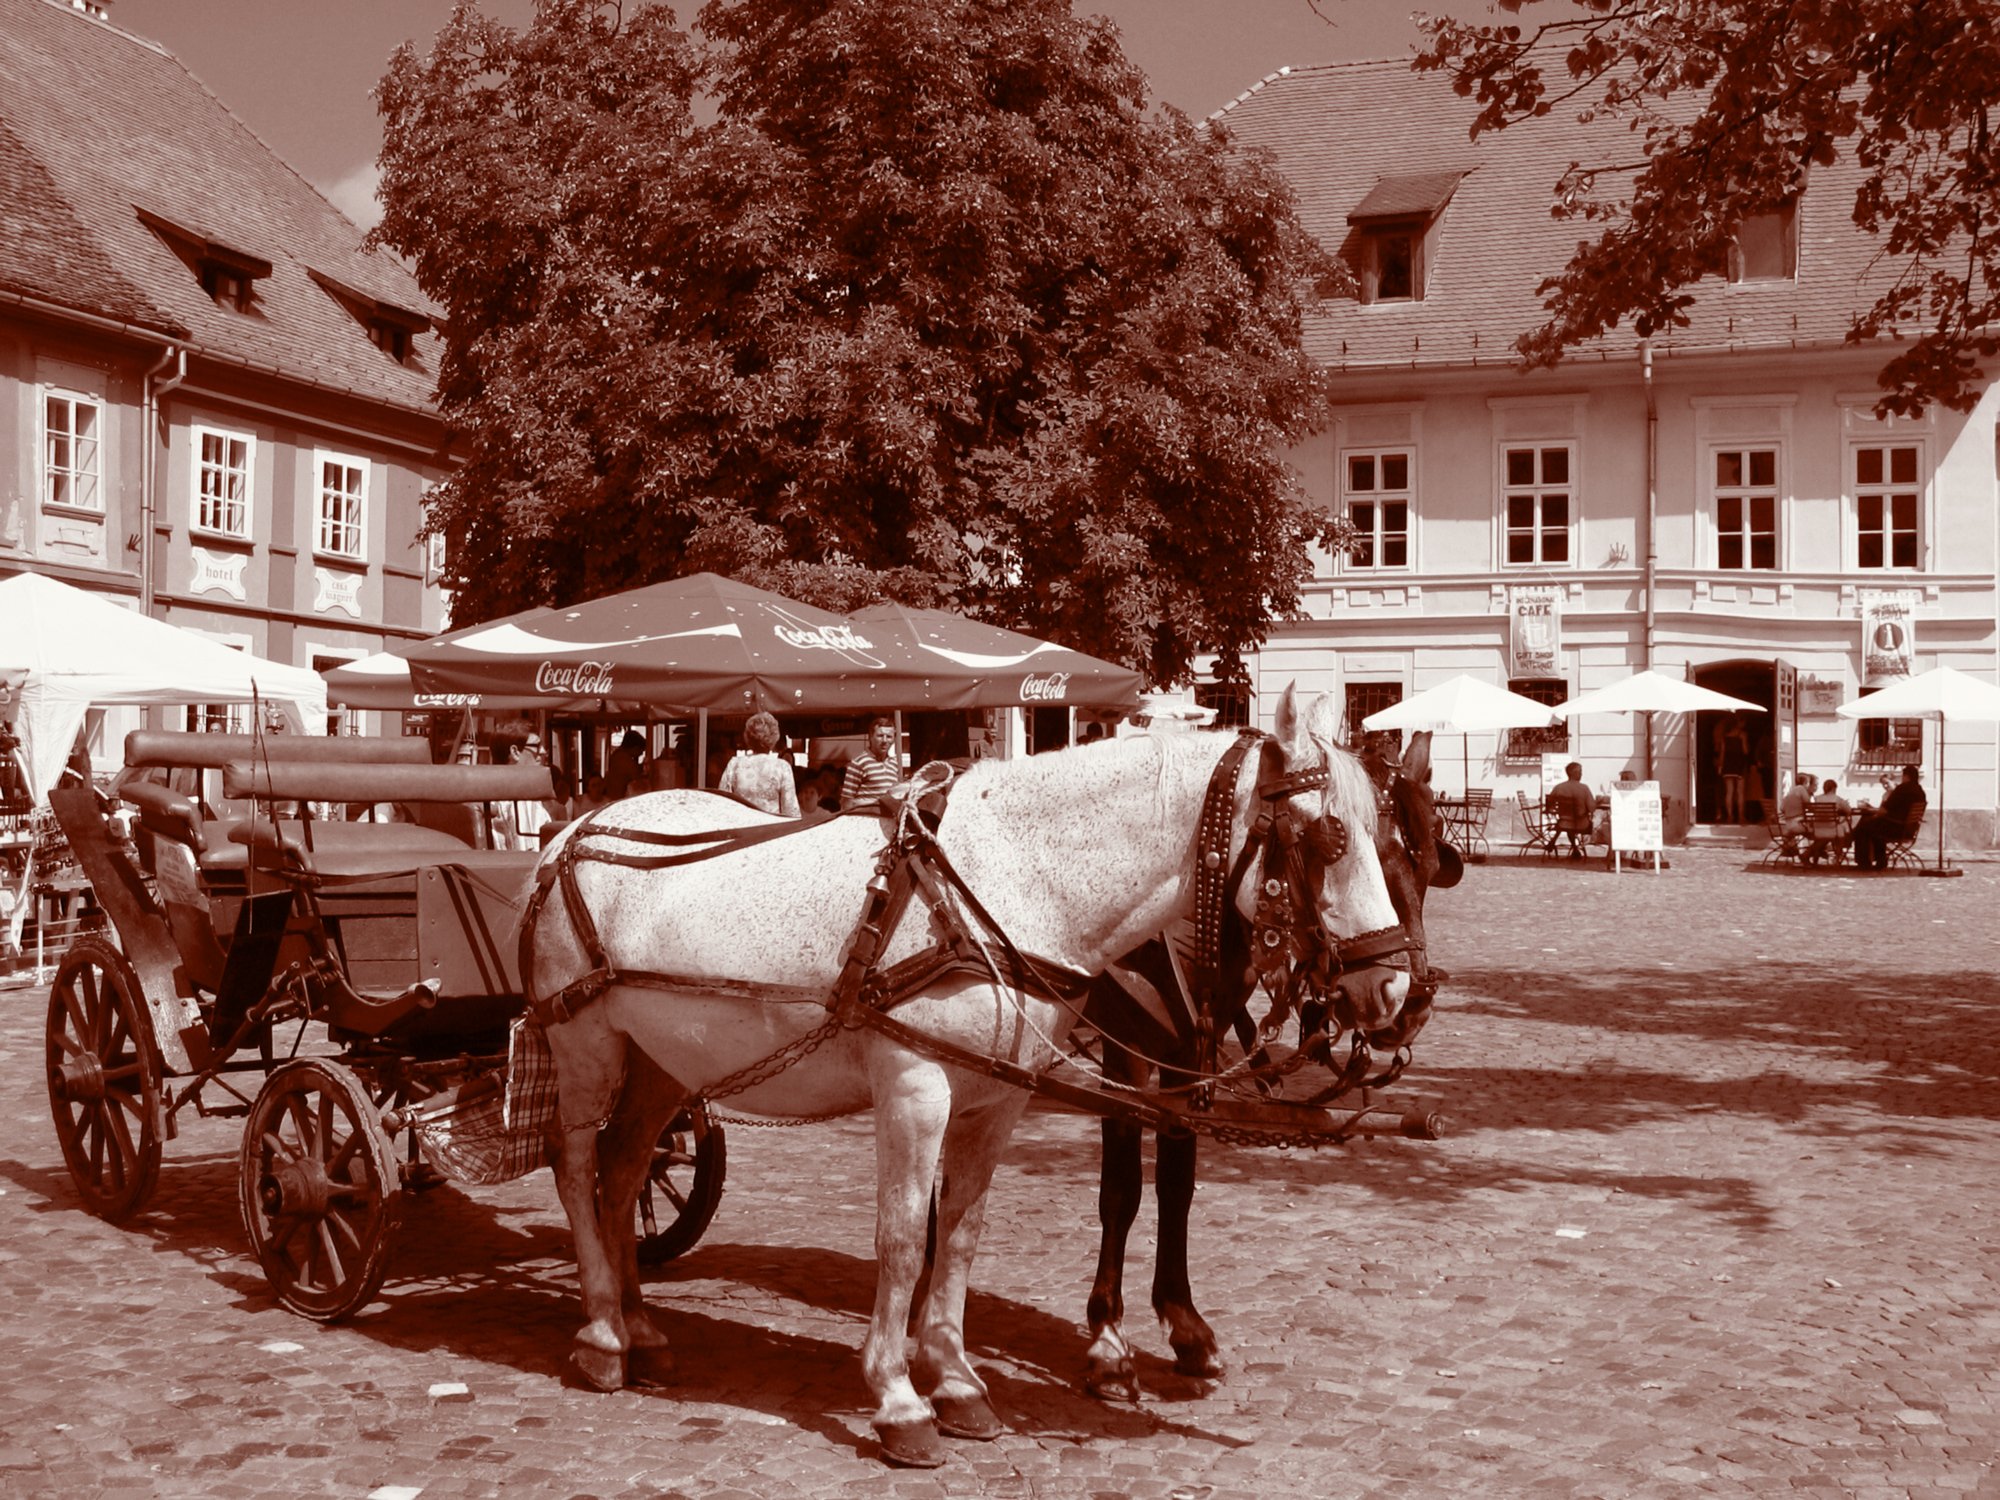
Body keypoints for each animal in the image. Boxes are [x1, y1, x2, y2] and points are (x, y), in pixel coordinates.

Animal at [524, 688, 1416, 1472]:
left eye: (1396, 842)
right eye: (1331, 839)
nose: (1395, 990)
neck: (1006, 884)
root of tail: (571, 831)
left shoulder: (1000, 1098)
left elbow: (959, 1234)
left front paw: (956, 1384)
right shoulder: (916, 1089)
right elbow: (900, 1236)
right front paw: (899, 1399)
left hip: (661, 1060)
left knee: (621, 1173)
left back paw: (641, 1330)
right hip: (587, 1045)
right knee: (575, 1166)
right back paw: (602, 1336)